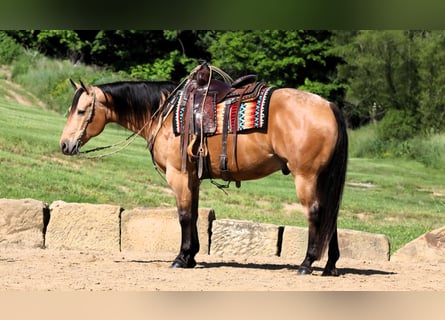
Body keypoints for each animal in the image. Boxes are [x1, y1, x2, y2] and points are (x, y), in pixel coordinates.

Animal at [58, 63, 346, 276]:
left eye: (81, 111)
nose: (64, 145)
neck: (164, 112)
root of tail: (329, 106)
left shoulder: (178, 175)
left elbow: (184, 215)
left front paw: (180, 258)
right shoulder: (192, 178)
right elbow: (194, 214)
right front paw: (191, 257)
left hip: (306, 177)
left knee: (316, 213)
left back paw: (307, 263)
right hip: (321, 178)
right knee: (330, 215)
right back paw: (330, 265)